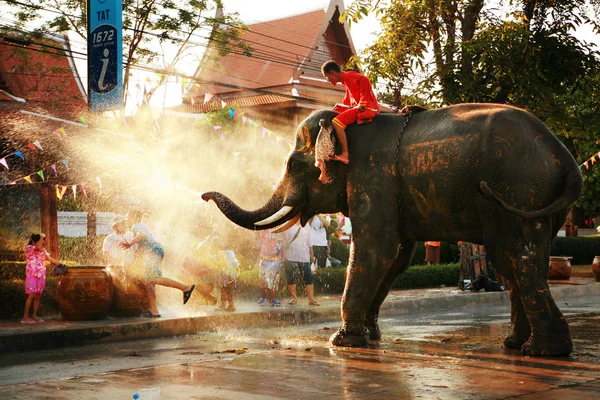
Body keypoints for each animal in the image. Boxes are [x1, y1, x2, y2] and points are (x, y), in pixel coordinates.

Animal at [202, 103, 580, 356]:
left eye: (294, 165)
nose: (204, 195)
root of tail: (564, 156)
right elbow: (397, 257)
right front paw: (370, 336)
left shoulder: (373, 177)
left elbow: (376, 249)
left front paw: (343, 341)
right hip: (535, 200)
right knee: (518, 263)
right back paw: (516, 345)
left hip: (519, 192)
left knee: (517, 259)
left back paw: (544, 352)